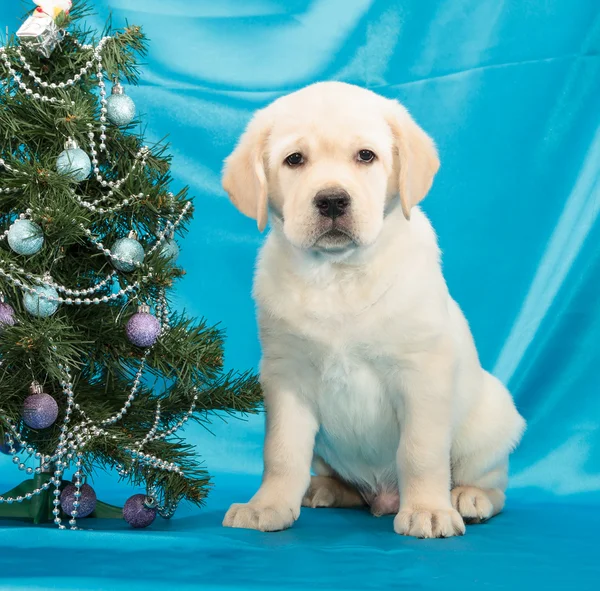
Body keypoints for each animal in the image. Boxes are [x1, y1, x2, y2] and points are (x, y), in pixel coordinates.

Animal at [220, 81, 524, 540]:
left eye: (366, 156)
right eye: (295, 159)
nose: (331, 201)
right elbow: (281, 452)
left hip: (491, 420)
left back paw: (467, 498)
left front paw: (428, 510)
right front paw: (267, 505)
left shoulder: (422, 373)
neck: (338, 274)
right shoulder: (285, 376)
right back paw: (325, 488)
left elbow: (420, 451)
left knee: (493, 483)